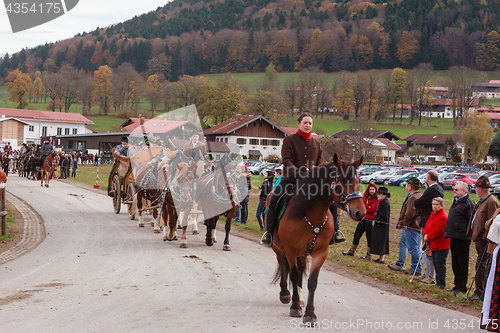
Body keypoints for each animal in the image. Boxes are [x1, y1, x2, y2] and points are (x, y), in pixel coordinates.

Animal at [266, 154, 368, 322]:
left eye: (359, 180)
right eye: (341, 181)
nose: (360, 213)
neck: (312, 217)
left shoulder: (320, 253)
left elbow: (312, 281)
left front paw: (309, 313)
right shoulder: (290, 250)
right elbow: (293, 275)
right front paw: (295, 307)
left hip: (302, 253)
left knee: (300, 269)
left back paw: (300, 298)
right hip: (278, 247)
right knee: (282, 263)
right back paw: (286, 294)